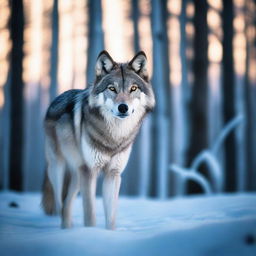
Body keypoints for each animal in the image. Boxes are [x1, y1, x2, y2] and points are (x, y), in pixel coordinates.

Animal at [41, 50, 155, 230]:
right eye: (112, 88)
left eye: (133, 88)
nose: (123, 107)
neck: (114, 135)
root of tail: (57, 98)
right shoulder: (89, 172)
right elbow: (90, 215)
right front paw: (91, 233)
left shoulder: (113, 174)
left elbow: (111, 217)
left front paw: (108, 234)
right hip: (58, 169)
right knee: (60, 204)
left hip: (77, 174)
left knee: (67, 203)